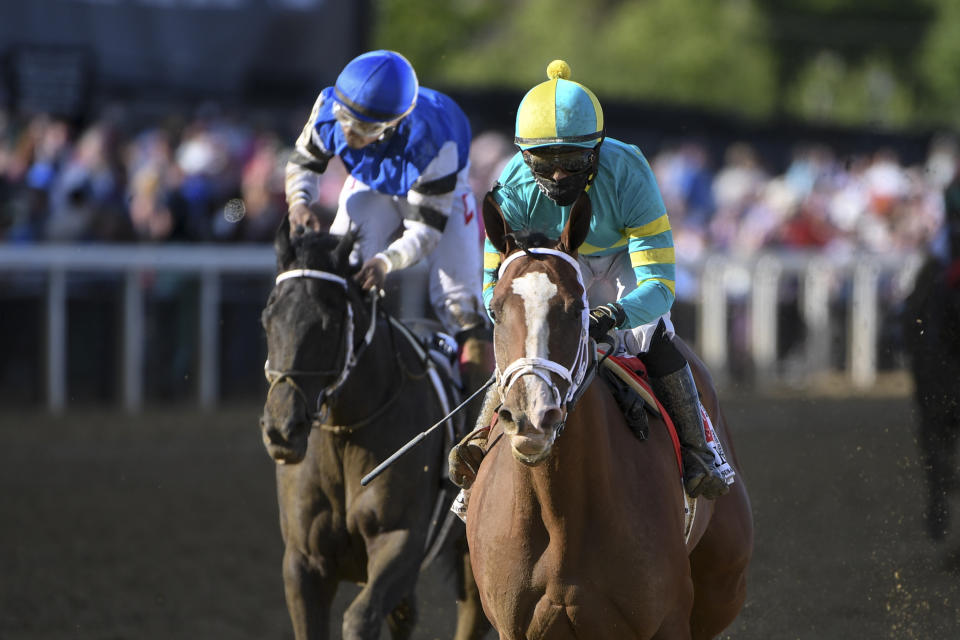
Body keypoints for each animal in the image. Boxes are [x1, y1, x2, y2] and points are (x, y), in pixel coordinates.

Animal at [256, 218, 488, 636]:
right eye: (269, 317)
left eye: (329, 323)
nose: (282, 428)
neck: (347, 433)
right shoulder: (303, 562)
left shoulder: (400, 542)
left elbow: (359, 619)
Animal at [466, 196, 756, 640]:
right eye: (495, 311)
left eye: (576, 309)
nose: (532, 415)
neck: (561, 516)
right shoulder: (513, 626)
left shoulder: (667, 619)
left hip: (723, 585)